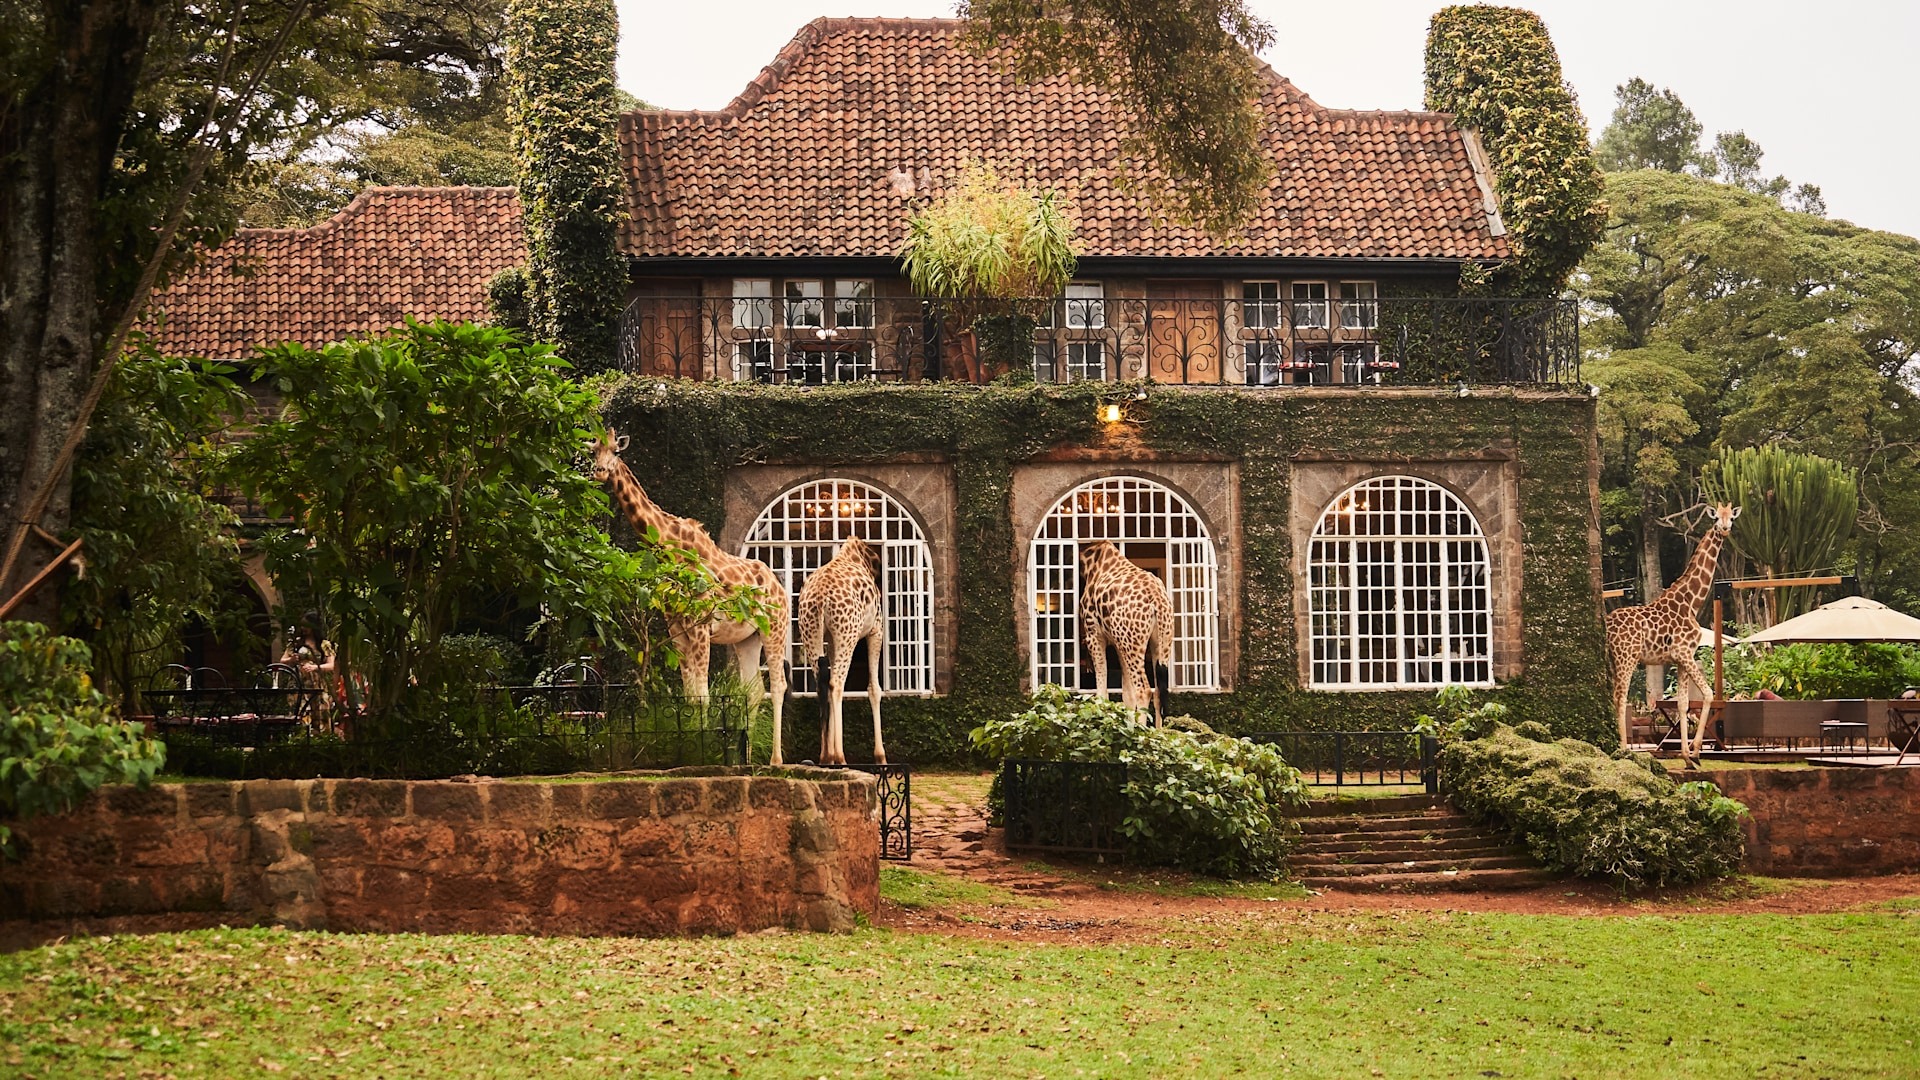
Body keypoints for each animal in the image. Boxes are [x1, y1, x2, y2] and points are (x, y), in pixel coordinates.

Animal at [589, 431, 791, 763]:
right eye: (593, 451)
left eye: (616, 451)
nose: (600, 472)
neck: (670, 547)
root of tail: (780, 587)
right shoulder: (678, 631)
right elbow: (690, 696)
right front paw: (691, 748)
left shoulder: (701, 627)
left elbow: (703, 695)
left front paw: (705, 750)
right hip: (746, 639)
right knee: (753, 690)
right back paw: (748, 758)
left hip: (774, 627)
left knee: (778, 686)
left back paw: (776, 760)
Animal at [797, 535, 887, 765]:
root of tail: (820, 597)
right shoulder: (876, 630)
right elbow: (874, 689)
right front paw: (880, 756)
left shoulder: (830, 639)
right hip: (848, 634)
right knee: (836, 683)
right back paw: (839, 757)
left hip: (810, 631)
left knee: (822, 684)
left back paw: (825, 757)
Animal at [1078, 540, 1174, 724]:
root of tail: (1157, 599)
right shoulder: (1118, 642)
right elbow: (1127, 694)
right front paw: (1126, 726)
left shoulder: (1094, 634)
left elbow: (1102, 692)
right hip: (1160, 641)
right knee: (1159, 691)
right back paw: (1159, 732)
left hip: (1133, 643)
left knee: (1144, 689)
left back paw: (1142, 731)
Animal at [1606, 503, 1741, 763]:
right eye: (1716, 518)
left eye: (1732, 518)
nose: (1725, 529)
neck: (1692, 602)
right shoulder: (1684, 653)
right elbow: (1707, 694)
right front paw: (1696, 752)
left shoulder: (1678, 659)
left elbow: (1683, 704)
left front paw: (1687, 755)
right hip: (1626, 658)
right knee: (1620, 698)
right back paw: (1624, 750)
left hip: (1613, 661)